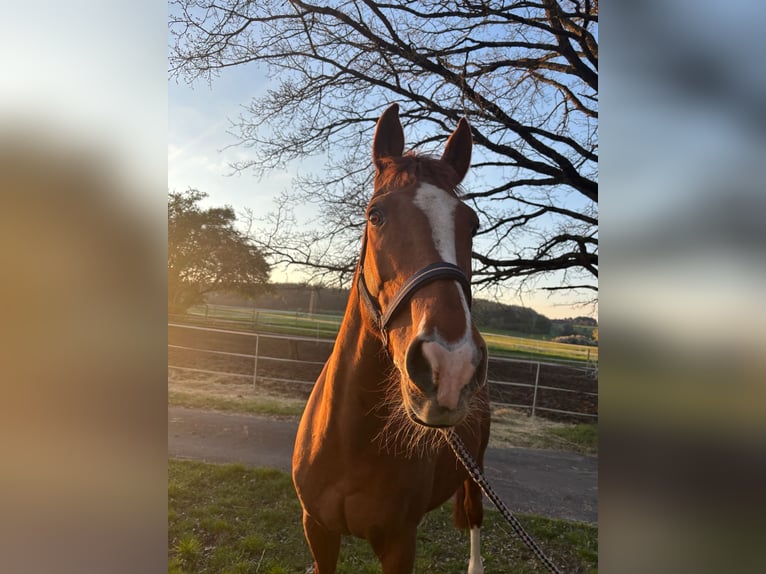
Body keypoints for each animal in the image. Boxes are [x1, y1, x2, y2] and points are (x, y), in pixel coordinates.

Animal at [292, 103, 491, 574]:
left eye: (472, 225)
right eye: (375, 215)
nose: (451, 365)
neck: (351, 442)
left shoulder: (400, 543)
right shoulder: (318, 530)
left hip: (476, 473)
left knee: (475, 519)